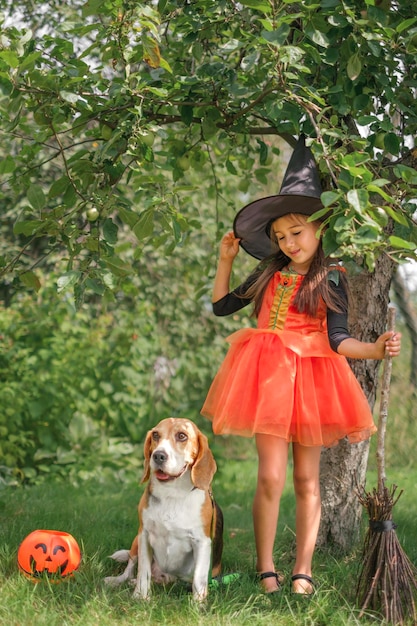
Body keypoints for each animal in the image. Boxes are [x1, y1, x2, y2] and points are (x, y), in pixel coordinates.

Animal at [103, 416, 223, 604]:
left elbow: (198, 578)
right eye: (155, 435)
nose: (158, 456)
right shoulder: (144, 535)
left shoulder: (202, 542)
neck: (172, 494)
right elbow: (143, 571)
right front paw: (140, 596)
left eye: (182, 436)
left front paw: (198, 604)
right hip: (136, 542)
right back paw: (119, 580)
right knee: (130, 567)